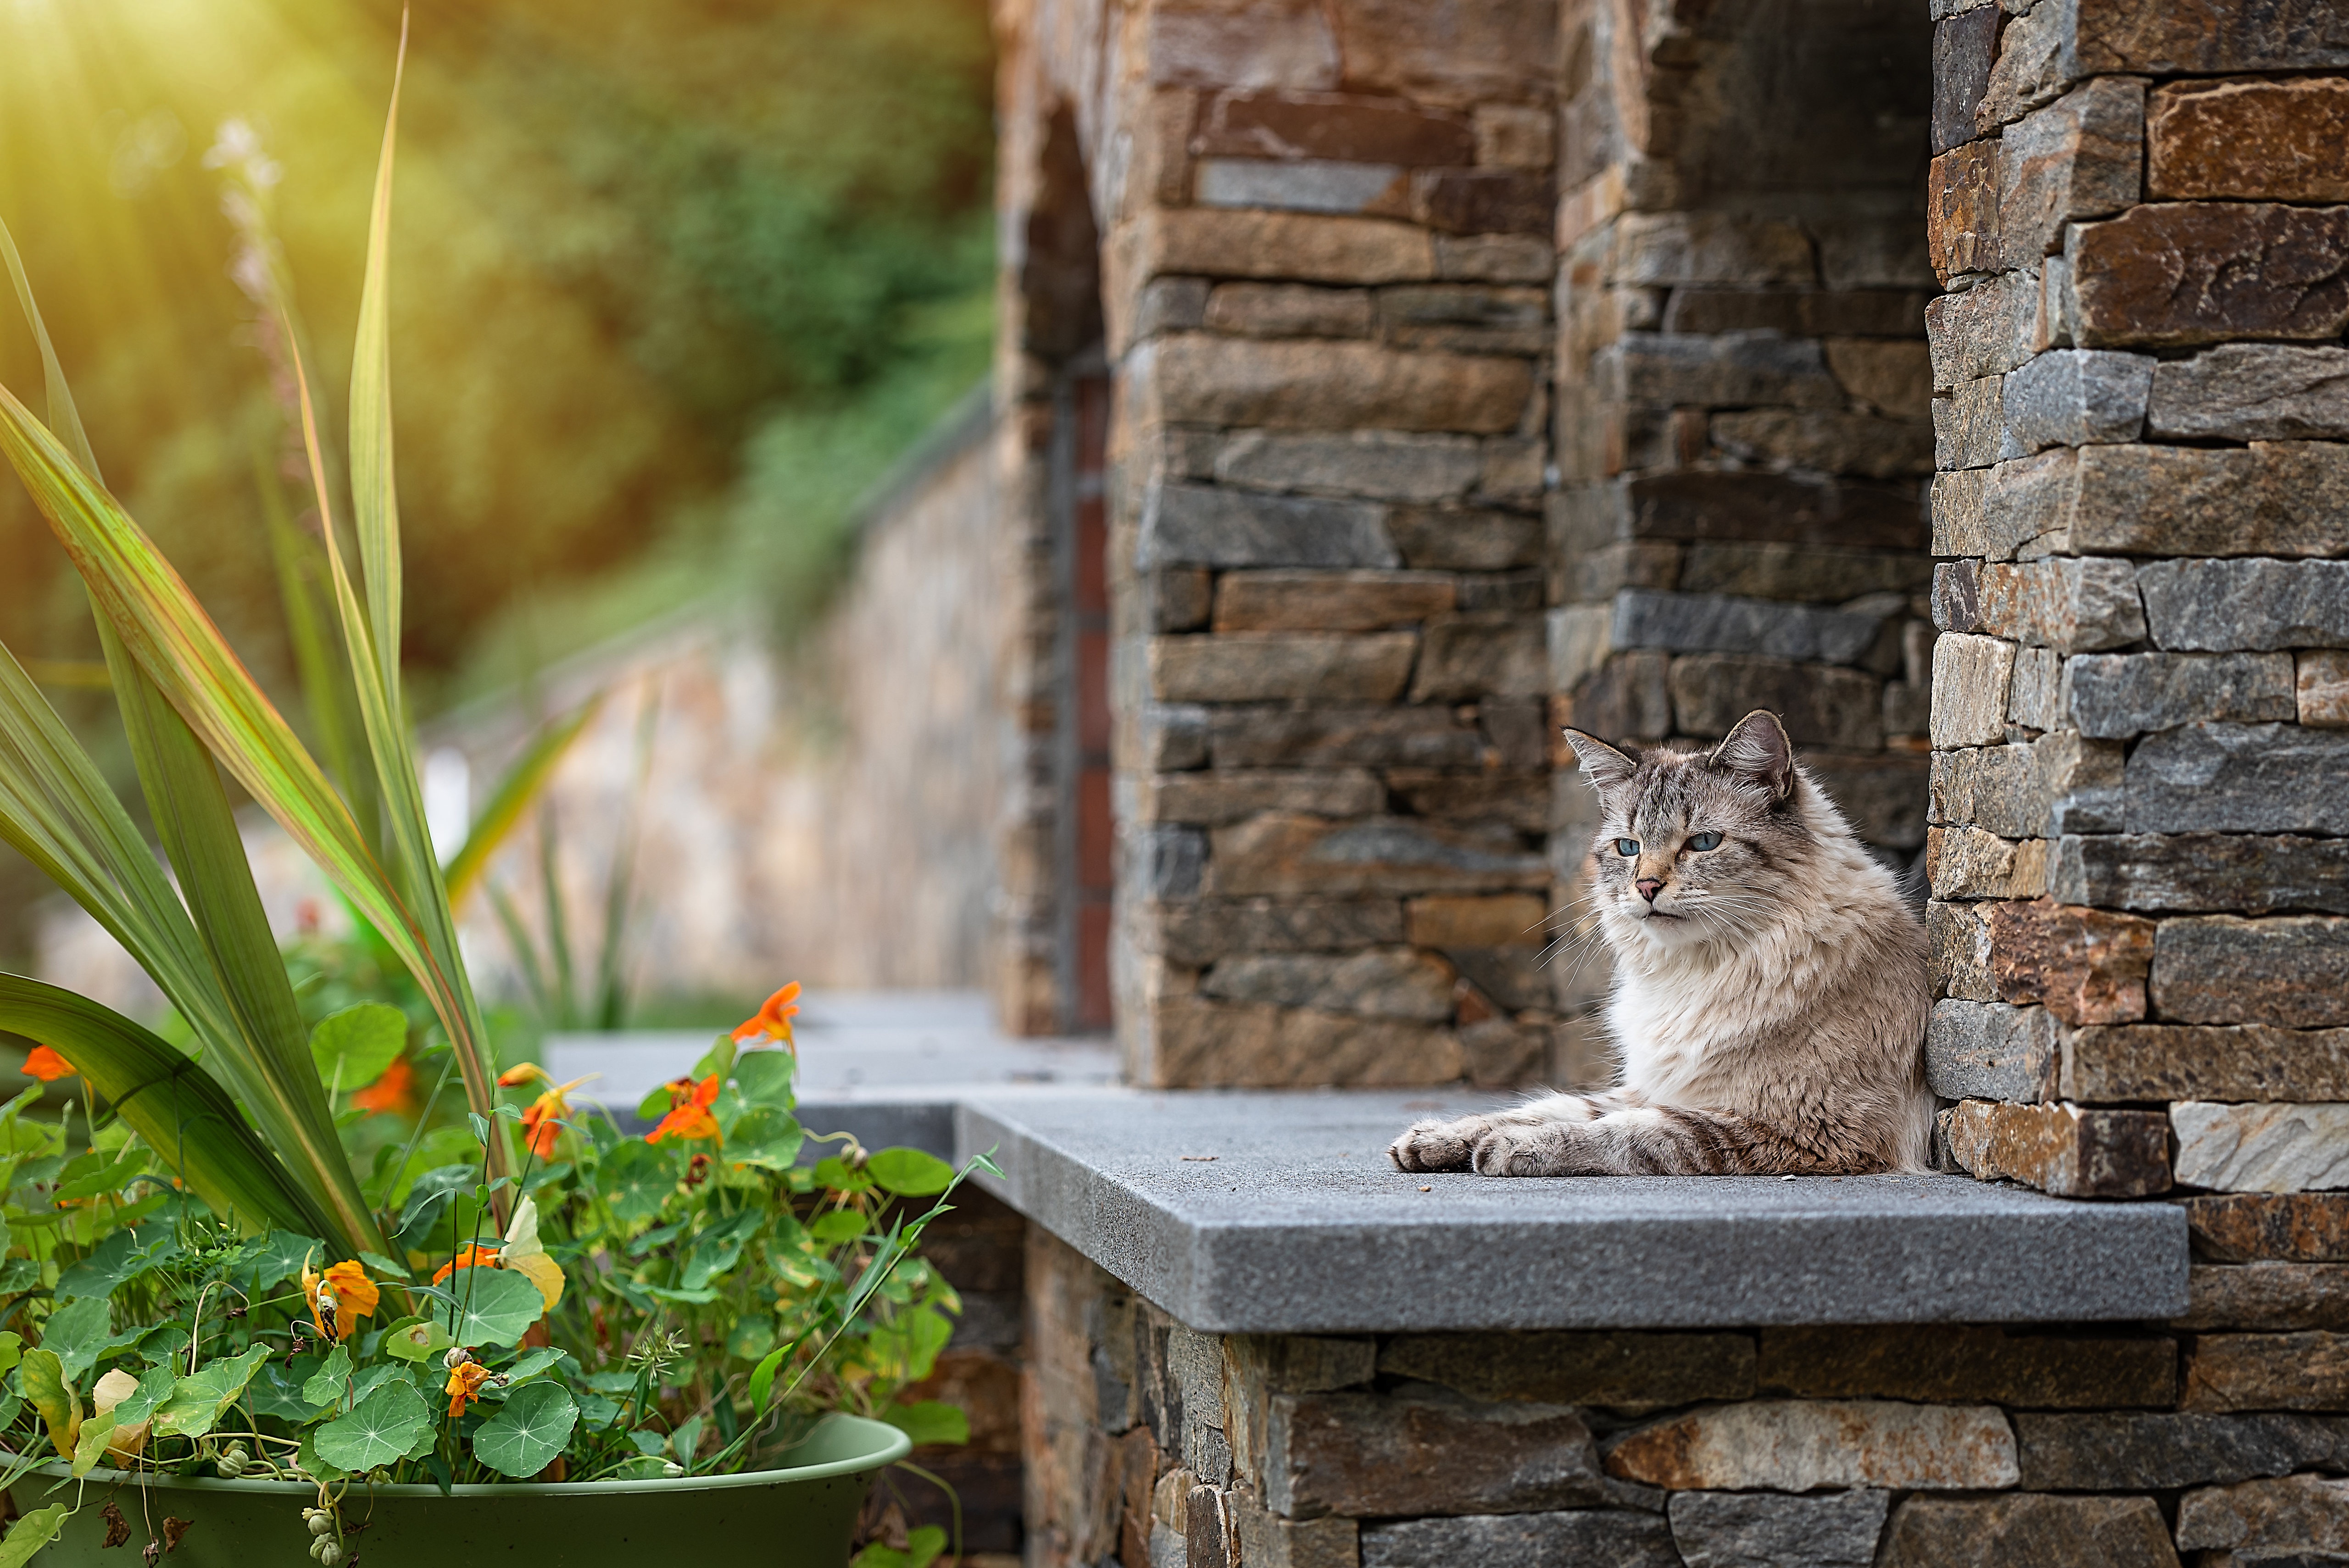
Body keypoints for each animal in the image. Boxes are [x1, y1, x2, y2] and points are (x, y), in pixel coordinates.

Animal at [1391, 709, 1926, 1173]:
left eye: (1703, 843)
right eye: (1628, 848)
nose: (1646, 887)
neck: (1693, 971)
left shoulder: (1794, 1127)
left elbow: (1624, 1132)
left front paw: (1508, 1148)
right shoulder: (1653, 1087)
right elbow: (1548, 1107)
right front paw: (1434, 1139)